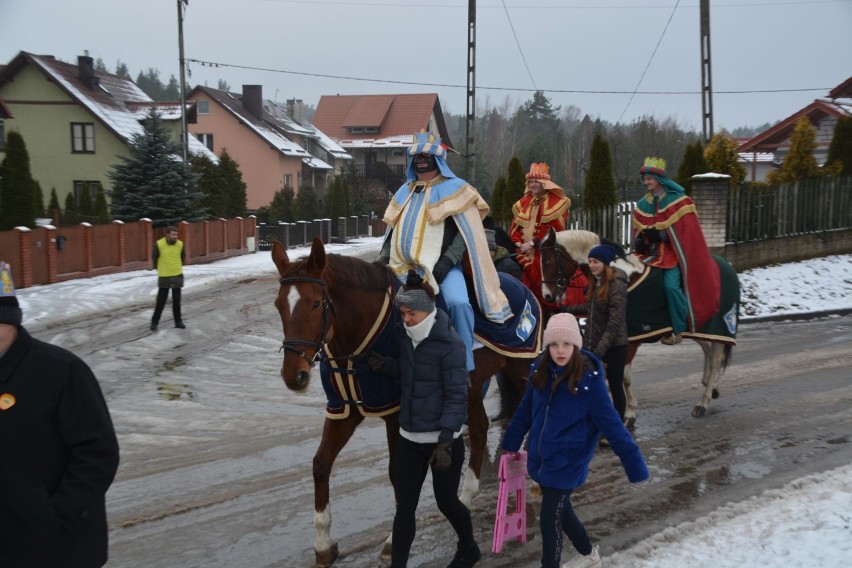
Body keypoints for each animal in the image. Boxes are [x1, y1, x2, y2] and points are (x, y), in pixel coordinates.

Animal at [540, 227, 740, 422]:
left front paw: (629, 412)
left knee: (715, 360)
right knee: (707, 350)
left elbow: (624, 377)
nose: (547, 296)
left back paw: (703, 402)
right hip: (697, 327)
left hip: (718, 328)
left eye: (548, 261)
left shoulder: (631, 341)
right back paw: (711, 386)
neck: (623, 278)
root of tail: (727, 266)